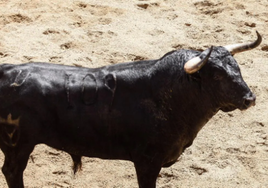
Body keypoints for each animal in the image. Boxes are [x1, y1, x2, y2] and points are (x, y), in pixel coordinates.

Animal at [0, 31, 262, 187]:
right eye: (216, 75)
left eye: (237, 67)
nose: (249, 98)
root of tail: (7, 71)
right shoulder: (147, 162)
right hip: (18, 144)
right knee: (12, 171)